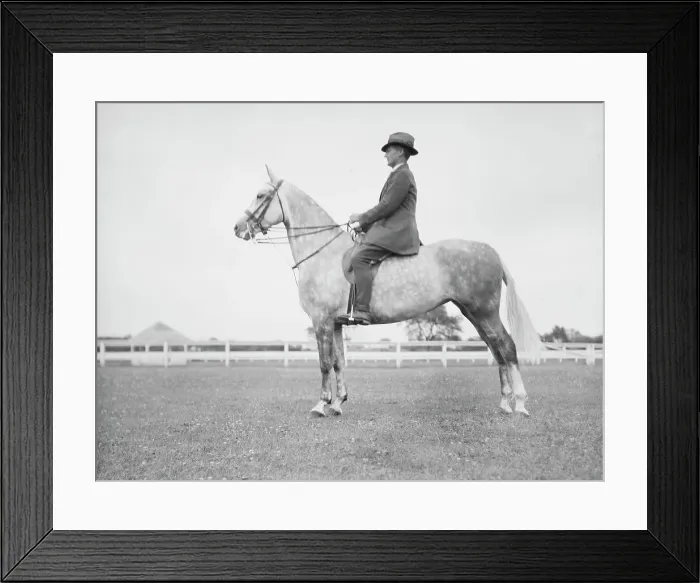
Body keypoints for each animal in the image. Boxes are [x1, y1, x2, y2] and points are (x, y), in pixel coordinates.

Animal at [233, 165, 543, 418]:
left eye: (261, 195)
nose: (237, 227)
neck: (323, 254)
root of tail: (491, 251)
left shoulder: (321, 321)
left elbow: (324, 363)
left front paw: (321, 405)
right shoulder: (336, 323)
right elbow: (339, 362)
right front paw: (338, 403)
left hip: (485, 312)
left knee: (507, 347)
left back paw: (520, 404)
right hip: (474, 314)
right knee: (496, 350)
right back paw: (504, 403)